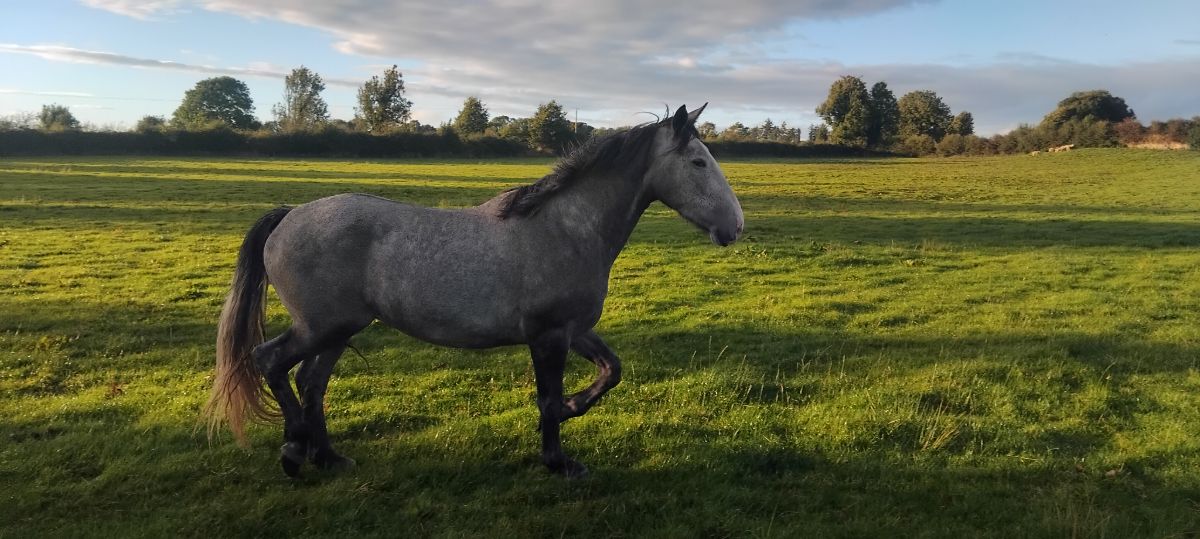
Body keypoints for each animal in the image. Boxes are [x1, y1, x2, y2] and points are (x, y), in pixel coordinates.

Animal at [204, 104, 744, 478]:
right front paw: (558, 461)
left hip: (337, 331)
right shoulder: (549, 336)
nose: (735, 226)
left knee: (311, 384)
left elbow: (611, 371)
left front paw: (575, 409)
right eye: (698, 162)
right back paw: (294, 451)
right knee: (271, 361)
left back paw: (329, 457)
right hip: (320, 327)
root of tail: (289, 215)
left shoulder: (573, 330)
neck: (564, 228)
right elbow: (547, 397)